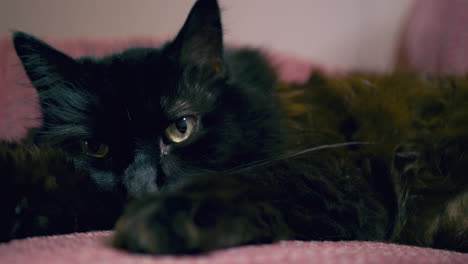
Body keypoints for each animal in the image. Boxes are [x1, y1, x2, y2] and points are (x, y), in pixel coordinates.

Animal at [1, 0, 466, 255]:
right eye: (95, 148)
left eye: (181, 128)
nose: (142, 188)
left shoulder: (339, 175)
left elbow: (261, 178)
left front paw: (169, 216)